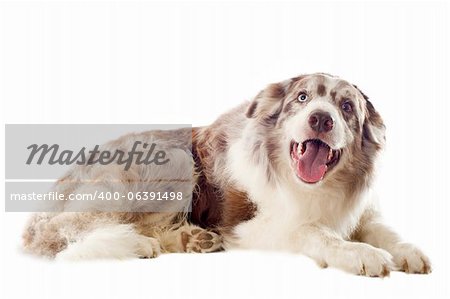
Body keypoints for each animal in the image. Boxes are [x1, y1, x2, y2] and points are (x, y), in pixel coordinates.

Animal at [22, 74, 430, 278]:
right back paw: (139, 244)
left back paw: (191, 239)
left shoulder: (361, 211)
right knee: (78, 225)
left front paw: (408, 251)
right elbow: (313, 231)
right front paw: (361, 253)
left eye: (346, 107)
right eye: (302, 98)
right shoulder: (247, 225)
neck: (316, 187)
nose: (321, 118)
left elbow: (384, 230)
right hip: (171, 160)